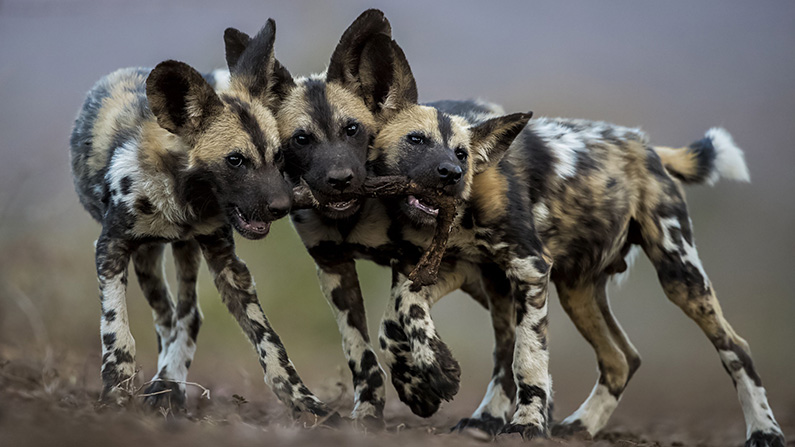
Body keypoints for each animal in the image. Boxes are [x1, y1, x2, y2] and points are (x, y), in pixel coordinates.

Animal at [69, 20, 338, 420]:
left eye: (279, 156)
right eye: (235, 160)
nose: (282, 206)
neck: (183, 201)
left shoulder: (226, 261)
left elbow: (269, 341)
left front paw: (305, 402)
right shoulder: (111, 249)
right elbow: (117, 329)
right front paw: (116, 391)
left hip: (181, 250)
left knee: (187, 316)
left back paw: (170, 383)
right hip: (148, 256)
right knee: (167, 317)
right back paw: (163, 382)